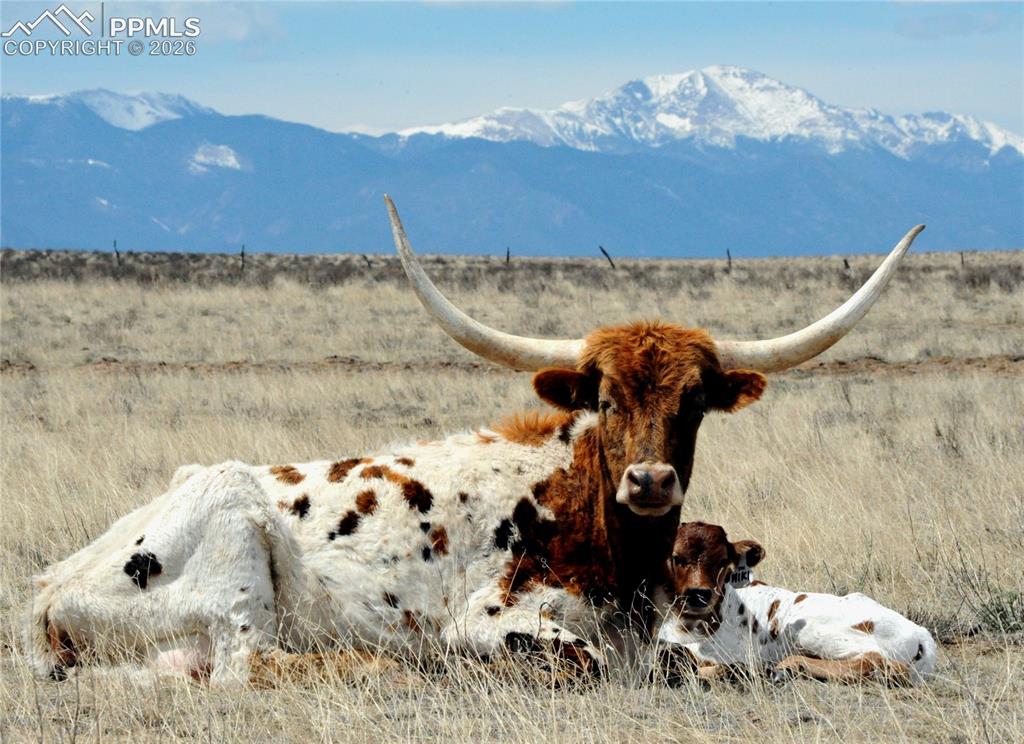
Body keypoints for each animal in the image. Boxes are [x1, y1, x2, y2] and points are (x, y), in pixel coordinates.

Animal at [657, 522, 938, 685]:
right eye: (676, 557)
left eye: (722, 561)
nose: (700, 594)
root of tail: (922, 634)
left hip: (808, 628)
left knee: (875, 661)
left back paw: (789, 666)